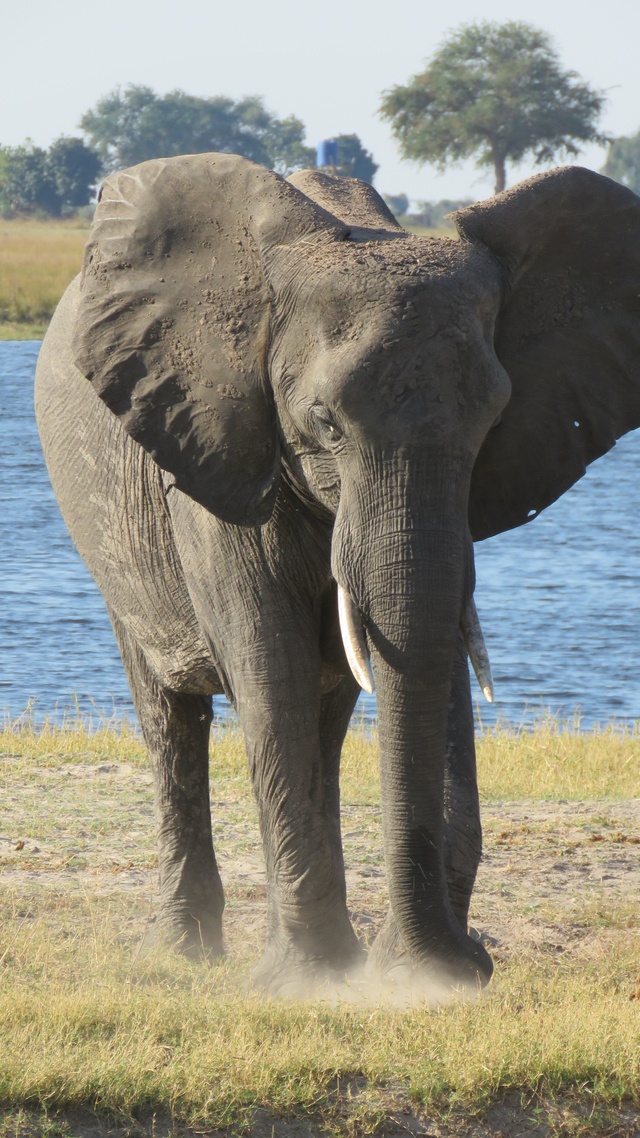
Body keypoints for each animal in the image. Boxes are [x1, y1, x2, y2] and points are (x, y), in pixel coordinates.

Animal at [33, 153, 637, 996]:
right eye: (323, 422)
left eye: (491, 422)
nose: (449, 960)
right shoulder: (218, 438)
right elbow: (269, 661)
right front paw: (307, 984)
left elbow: (433, 645)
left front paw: (414, 978)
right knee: (171, 715)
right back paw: (184, 955)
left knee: (328, 713)